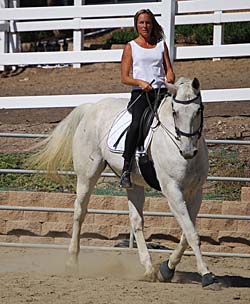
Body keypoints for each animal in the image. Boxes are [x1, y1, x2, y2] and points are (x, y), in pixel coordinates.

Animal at [29, 76, 217, 288]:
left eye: (198, 110)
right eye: (175, 112)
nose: (187, 151)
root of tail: (91, 107)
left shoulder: (196, 192)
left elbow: (187, 232)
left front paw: (166, 269)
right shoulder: (172, 191)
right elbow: (191, 233)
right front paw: (206, 273)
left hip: (133, 184)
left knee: (136, 222)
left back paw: (149, 269)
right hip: (87, 176)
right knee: (79, 212)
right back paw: (72, 262)